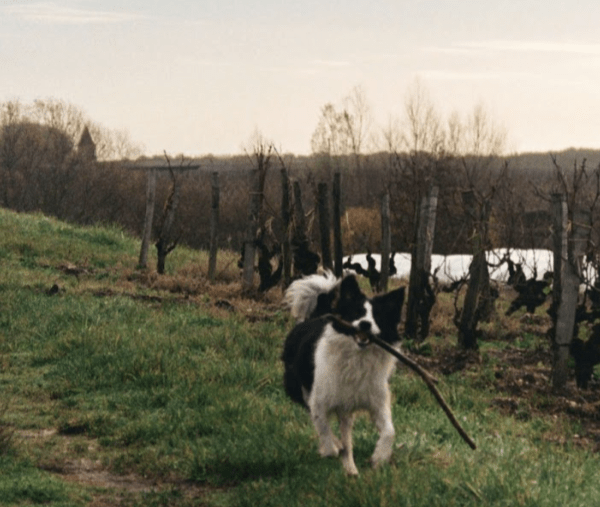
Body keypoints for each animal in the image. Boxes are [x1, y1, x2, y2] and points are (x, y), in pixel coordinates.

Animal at [282, 272, 406, 474]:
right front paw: (330, 448)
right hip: (299, 387)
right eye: (356, 313)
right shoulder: (320, 399)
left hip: (346, 411)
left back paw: (351, 469)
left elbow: (390, 431)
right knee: (313, 414)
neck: (357, 357)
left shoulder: (377, 401)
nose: (365, 324)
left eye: (378, 317)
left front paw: (378, 457)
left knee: (346, 436)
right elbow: (322, 426)